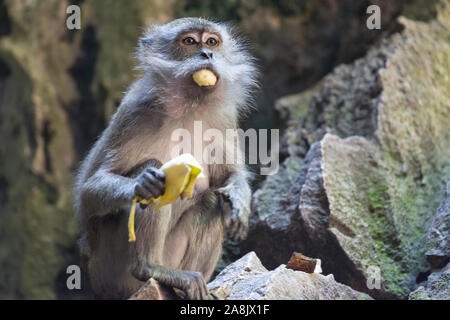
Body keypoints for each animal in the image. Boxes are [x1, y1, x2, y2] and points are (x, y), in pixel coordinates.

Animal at [73, 18, 256, 300]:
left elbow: (228, 176)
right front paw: (141, 184)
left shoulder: (225, 118)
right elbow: (88, 194)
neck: (189, 107)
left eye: (212, 41)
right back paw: (150, 267)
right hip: (108, 269)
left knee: (211, 202)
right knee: (158, 177)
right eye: (189, 41)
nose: (207, 54)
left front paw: (239, 199)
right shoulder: (134, 112)